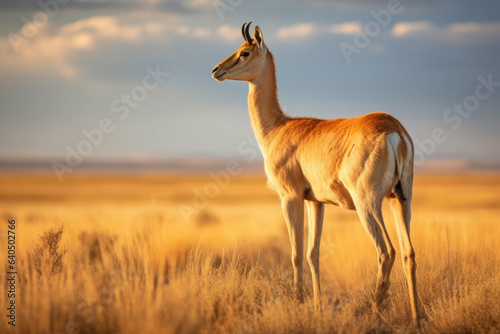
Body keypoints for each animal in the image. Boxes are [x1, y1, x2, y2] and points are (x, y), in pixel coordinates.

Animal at [210, 22, 418, 324]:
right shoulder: (316, 202)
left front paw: (298, 303)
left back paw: (374, 311)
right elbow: (313, 254)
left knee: (386, 251)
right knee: (408, 253)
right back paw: (416, 316)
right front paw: (318, 309)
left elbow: (296, 254)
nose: (216, 70)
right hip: (400, 201)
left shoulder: (291, 198)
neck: (279, 128)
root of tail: (395, 131)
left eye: (245, 52)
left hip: (368, 205)